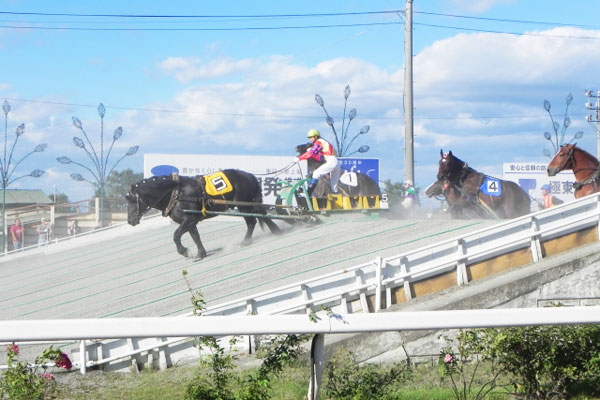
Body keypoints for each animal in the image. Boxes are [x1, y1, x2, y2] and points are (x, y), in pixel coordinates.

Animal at [126, 169, 282, 260]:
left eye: (132, 199)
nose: (130, 220)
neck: (176, 193)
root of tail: (249, 176)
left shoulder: (188, 219)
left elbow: (176, 235)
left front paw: (185, 251)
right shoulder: (190, 222)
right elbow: (196, 237)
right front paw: (201, 253)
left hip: (243, 205)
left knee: (252, 221)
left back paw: (246, 241)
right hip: (248, 203)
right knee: (261, 215)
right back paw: (275, 231)